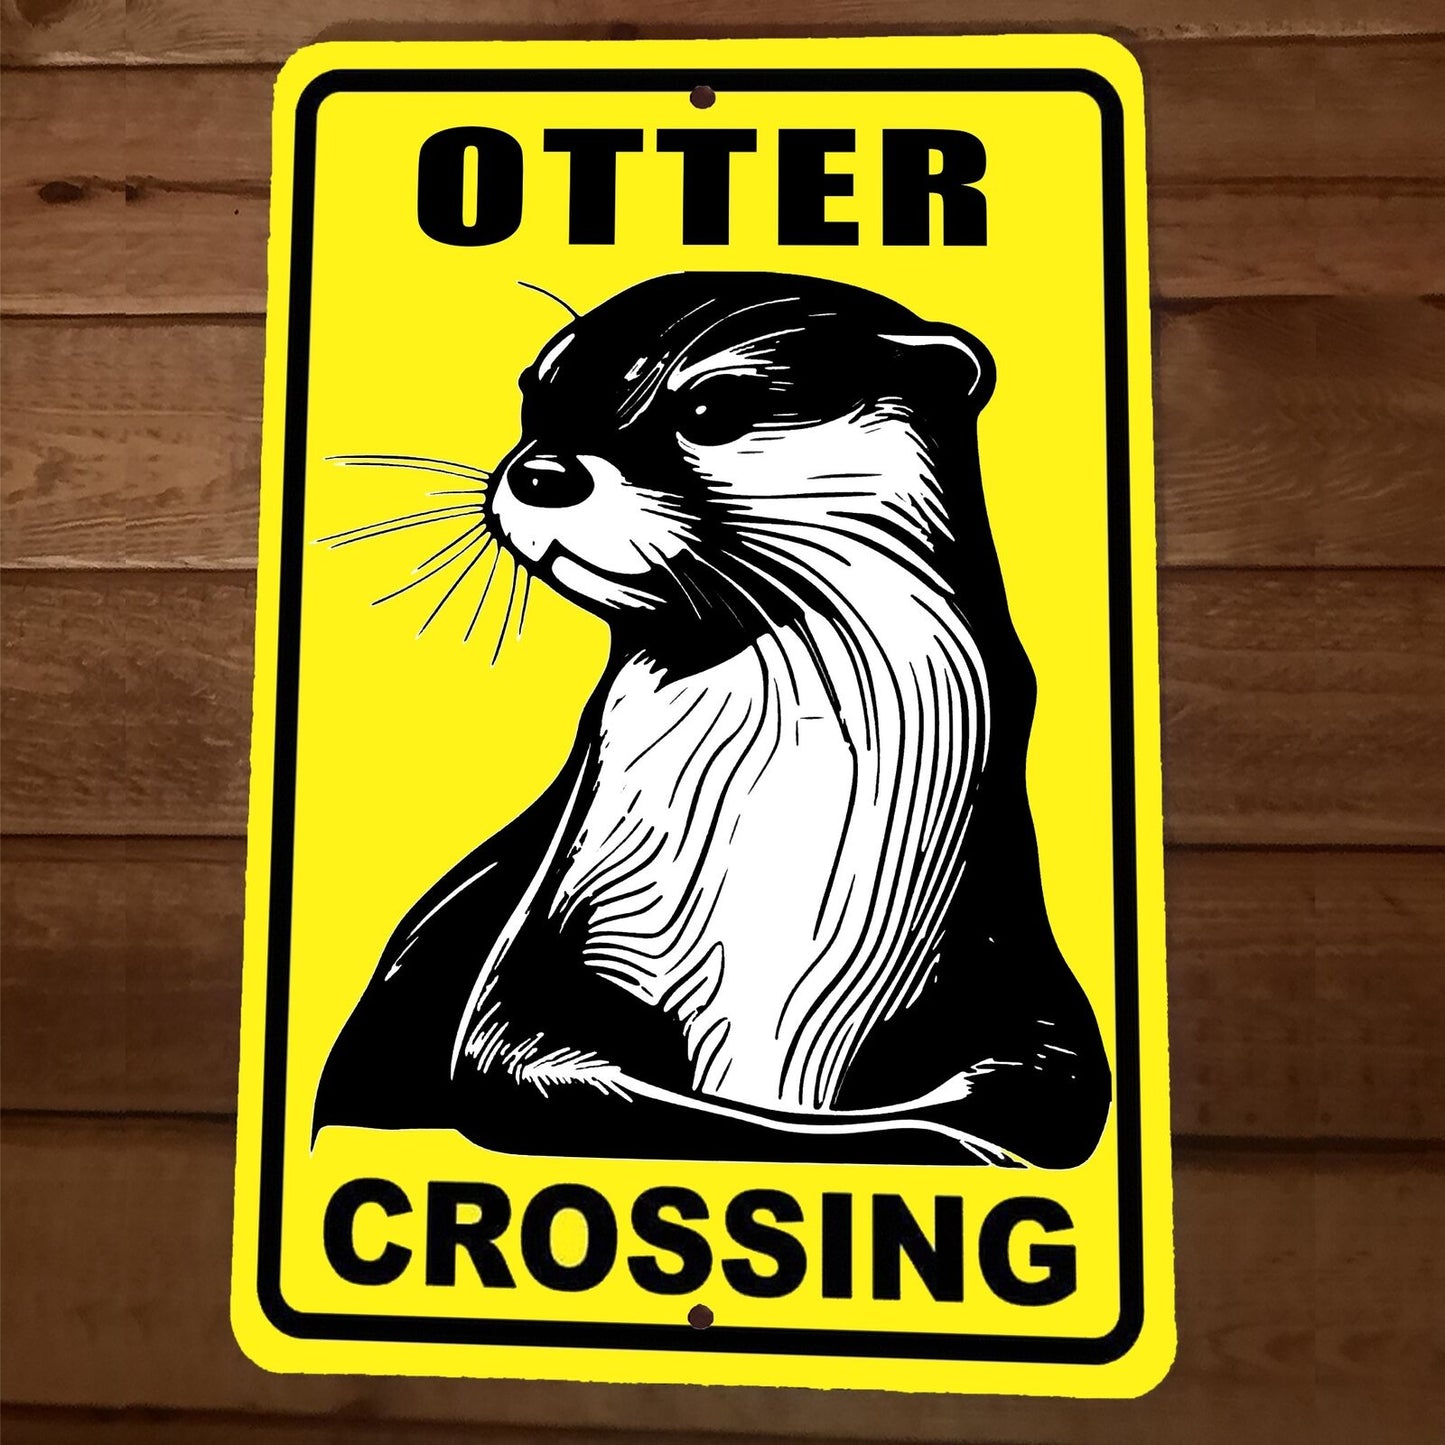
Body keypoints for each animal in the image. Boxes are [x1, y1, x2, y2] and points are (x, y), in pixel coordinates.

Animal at [314, 271, 1111, 1168]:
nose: (543, 472)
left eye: (711, 408)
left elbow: (1044, 1092)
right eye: (534, 397)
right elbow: (584, 1084)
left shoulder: (1006, 966)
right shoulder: (536, 964)